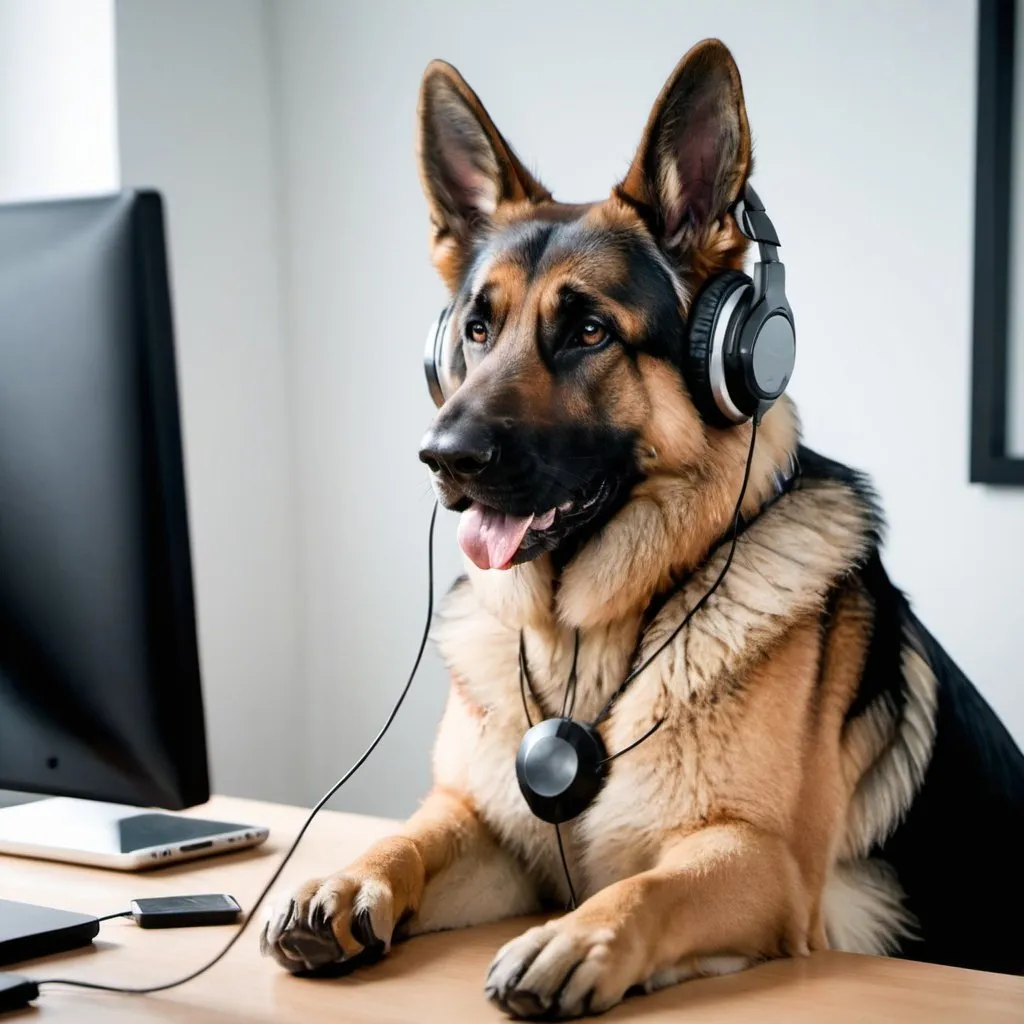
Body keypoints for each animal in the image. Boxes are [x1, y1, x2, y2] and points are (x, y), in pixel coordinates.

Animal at [264, 39, 1024, 1015]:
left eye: (588, 330)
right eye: (476, 329)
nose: (442, 457)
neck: (586, 646)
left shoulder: (761, 863)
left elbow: (653, 885)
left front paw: (575, 938)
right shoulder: (493, 838)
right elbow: (416, 834)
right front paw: (348, 876)